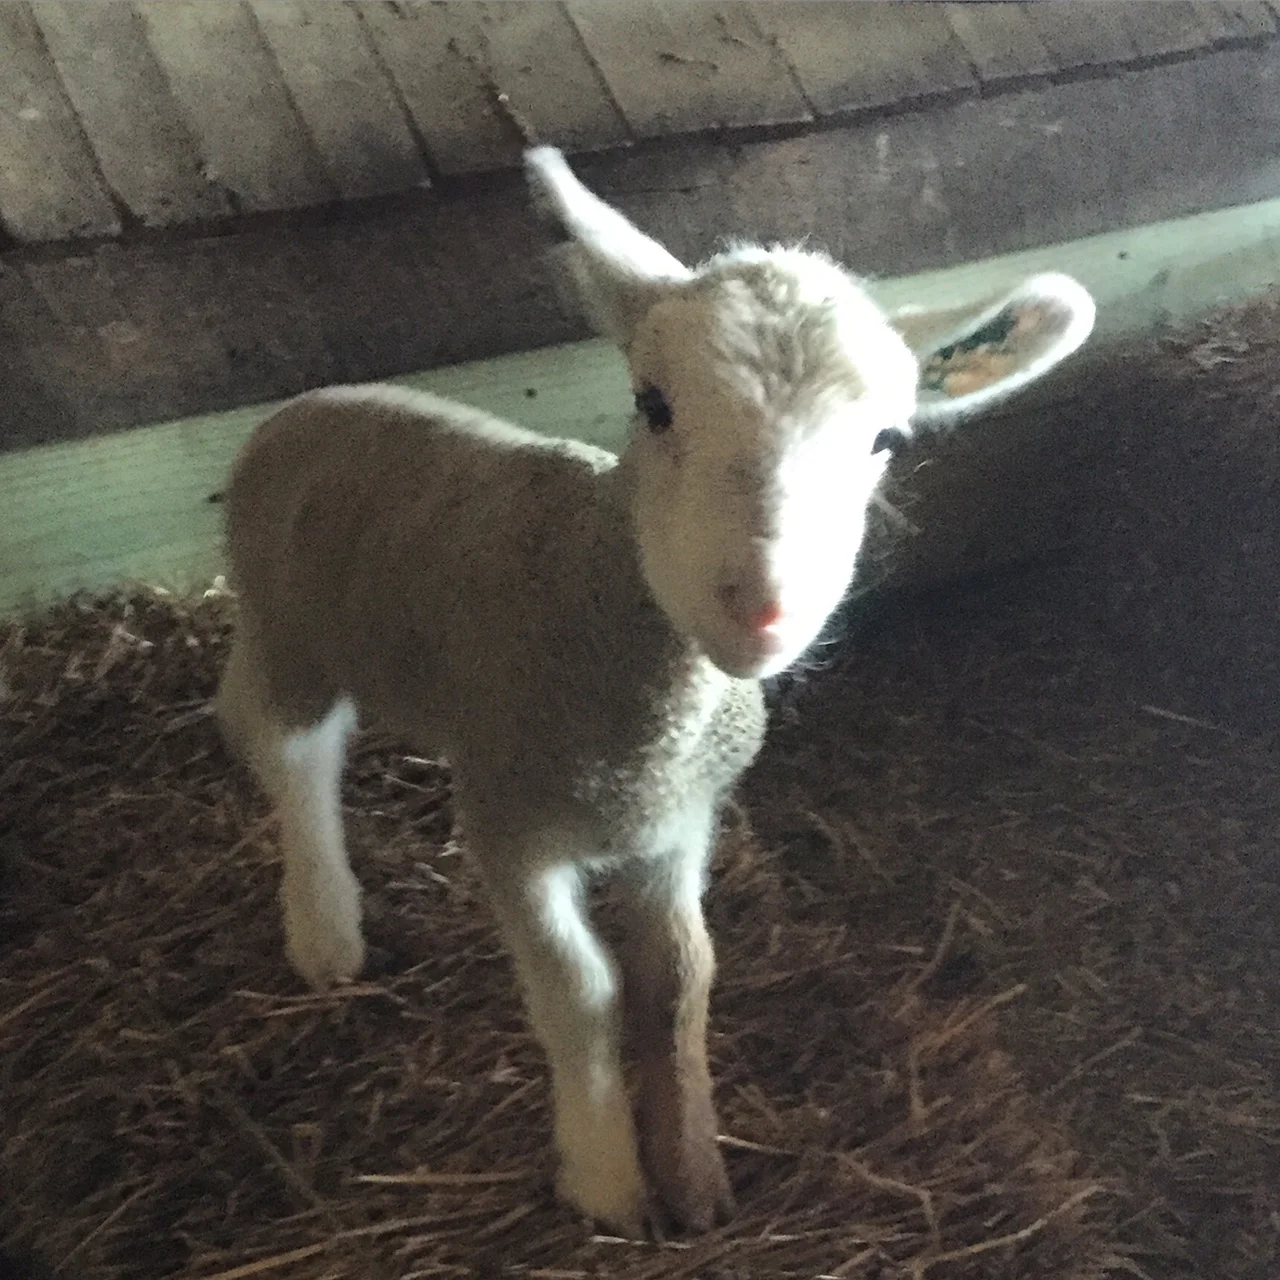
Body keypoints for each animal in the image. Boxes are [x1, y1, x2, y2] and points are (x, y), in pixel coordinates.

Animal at [214, 146, 1096, 1238]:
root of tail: (303, 405)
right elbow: (582, 990)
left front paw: (697, 1175)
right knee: (292, 753)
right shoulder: (509, 824)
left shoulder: (678, 821)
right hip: (292, 629)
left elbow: (680, 980)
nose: (758, 606)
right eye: (654, 404)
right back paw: (326, 926)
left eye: (886, 440)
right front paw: (607, 1180)